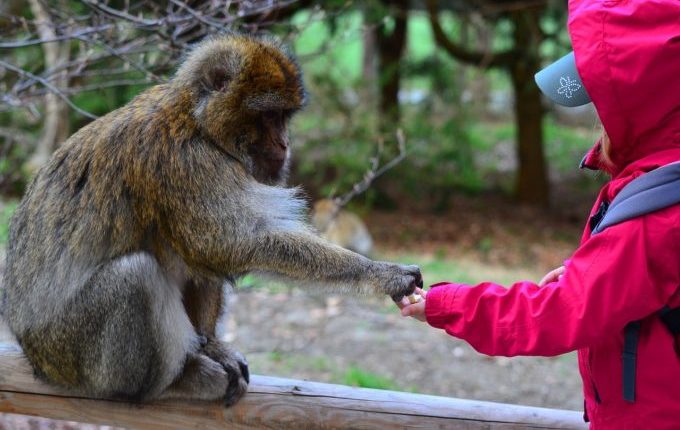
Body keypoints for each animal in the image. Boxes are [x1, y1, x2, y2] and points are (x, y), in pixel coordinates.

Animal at [0, 33, 420, 406]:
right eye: (269, 115)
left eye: (285, 116)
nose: (285, 144)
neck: (195, 121)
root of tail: (32, 351)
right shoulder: (185, 163)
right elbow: (228, 244)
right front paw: (379, 272)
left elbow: (209, 256)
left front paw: (213, 346)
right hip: (68, 351)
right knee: (136, 276)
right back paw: (167, 383)